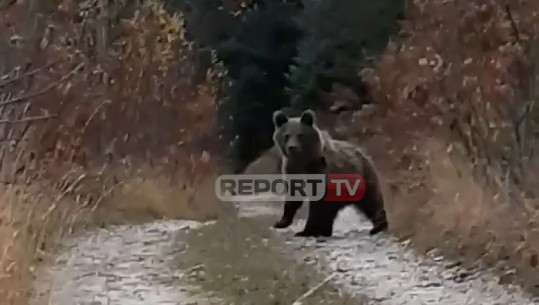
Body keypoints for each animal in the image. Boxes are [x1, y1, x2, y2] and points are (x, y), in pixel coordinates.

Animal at [272, 108, 386, 236]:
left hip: (363, 177)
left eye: (300, 135)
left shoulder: (320, 172)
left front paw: (307, 230)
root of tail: (362, 152)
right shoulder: (292, 169)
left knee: (371, 201)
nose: (292, 147)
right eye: (286, 135)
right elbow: (293, 197)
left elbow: (318, 206)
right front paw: (281, 222)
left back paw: (378, 225)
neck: (304, 161)